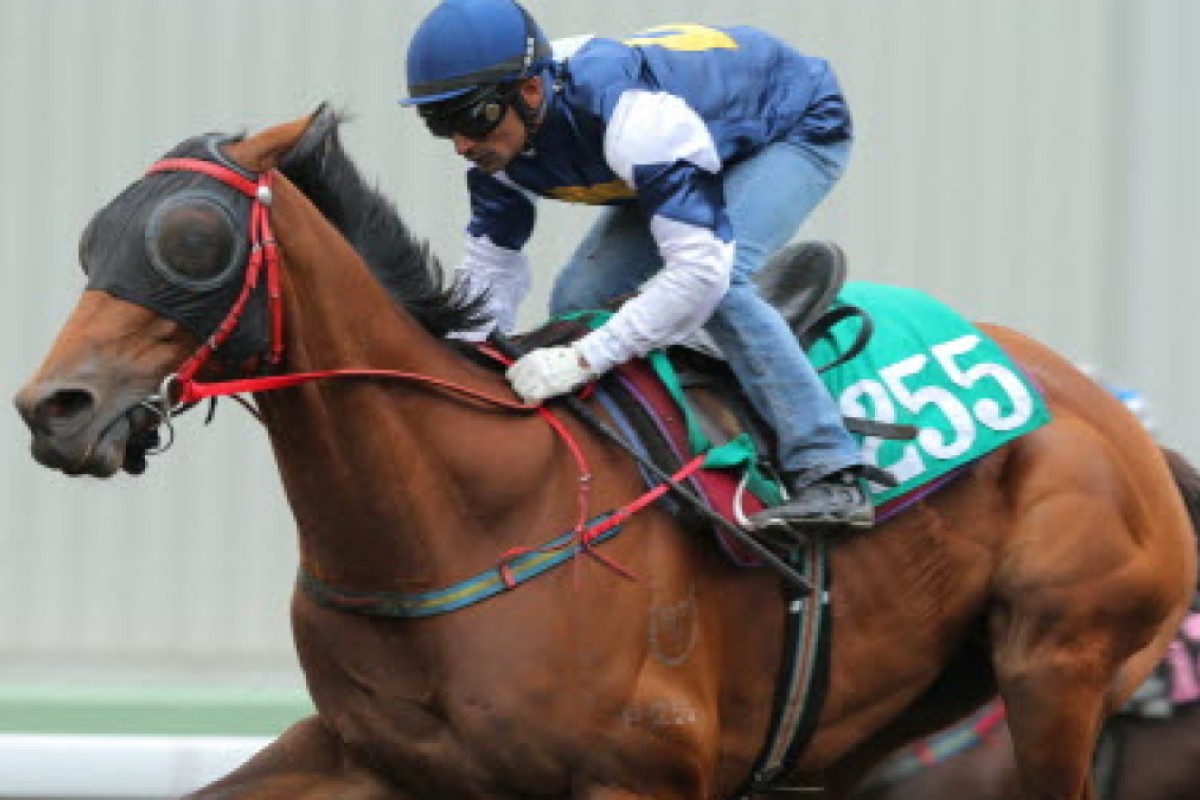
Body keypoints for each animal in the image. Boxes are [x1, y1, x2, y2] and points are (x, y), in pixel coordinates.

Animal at [11, 106, 1200, 800]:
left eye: (191, 242)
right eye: (93, 235)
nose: (53, 405)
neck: (462, 510)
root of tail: (1116, 423)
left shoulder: (640, 773)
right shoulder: (368, 756)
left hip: (1056, 664)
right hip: (874, 722)